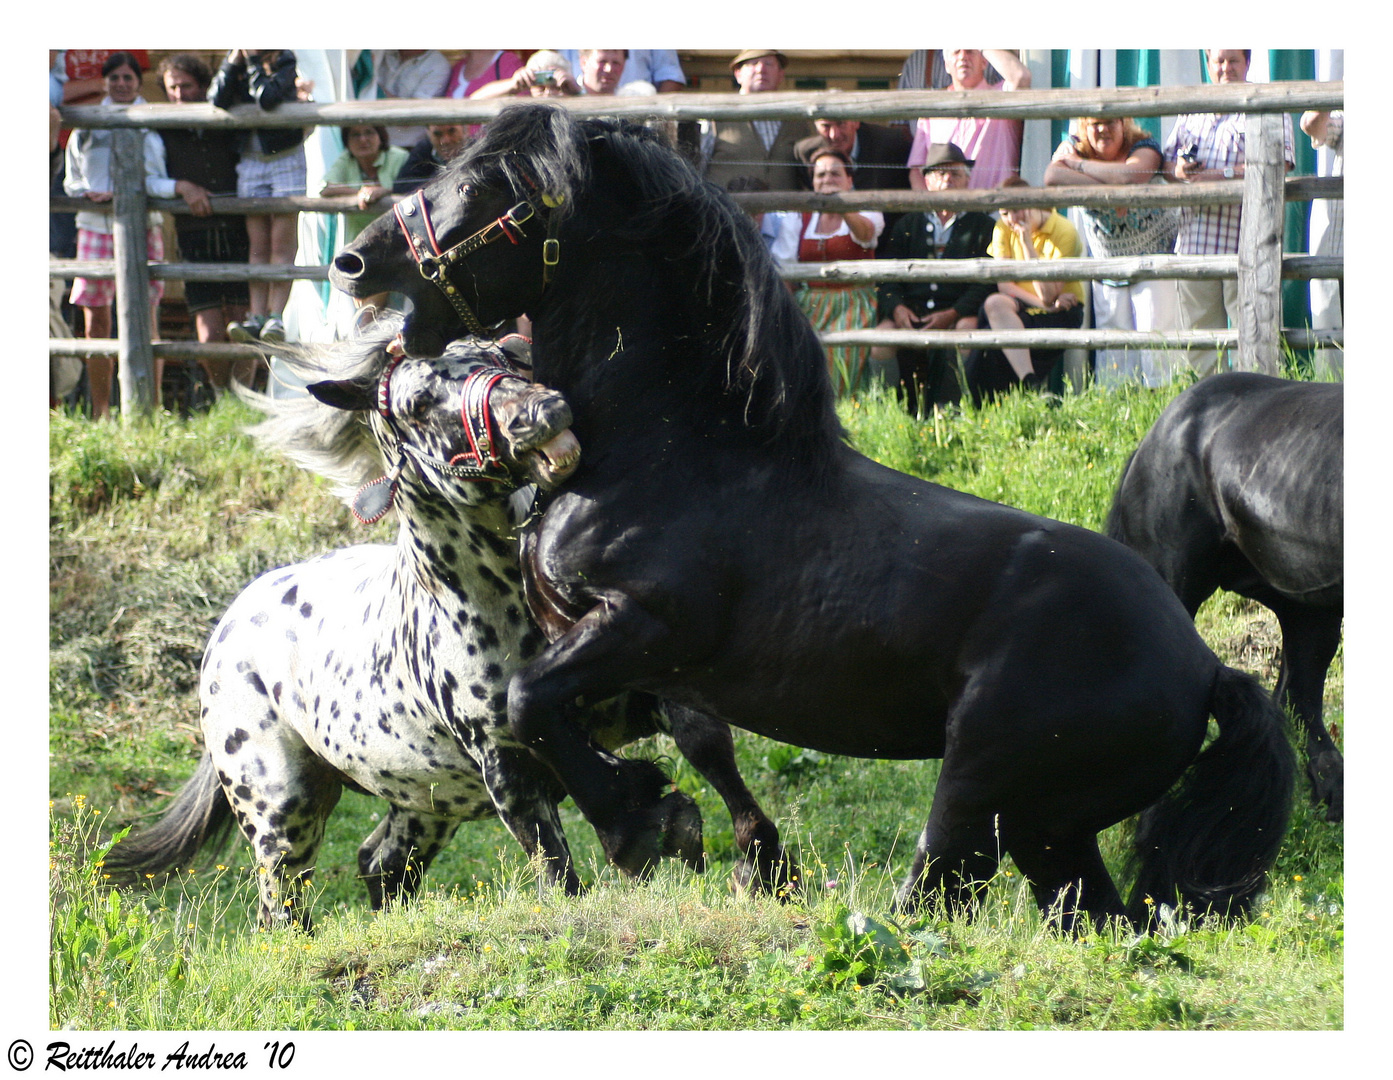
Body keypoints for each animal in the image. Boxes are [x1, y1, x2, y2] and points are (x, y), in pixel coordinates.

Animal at [103, 319, 785, 930]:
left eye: (502, 354)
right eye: (417, 404)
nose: (543, 411)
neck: (504, 607)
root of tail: (232, 623)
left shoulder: (645, 682)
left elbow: (706, 747)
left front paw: (762, 868)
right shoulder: (507, 769)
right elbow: (558, 864)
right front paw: (640, 828)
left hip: (425, 801)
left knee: (380, 863)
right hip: (284, 813)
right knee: (283, 906)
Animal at [328, 105, 1292, 930]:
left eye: (494, 185)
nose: (357, 262)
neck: (668, 454)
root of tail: (1205, 667)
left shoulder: (642, 625)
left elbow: (530, 701)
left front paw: (635, 823)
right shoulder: (629, 657)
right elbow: (683, 739)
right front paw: (714, 838)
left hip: (981, 785)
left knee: (939, 889)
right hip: (1047, 830)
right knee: (1088, 915)